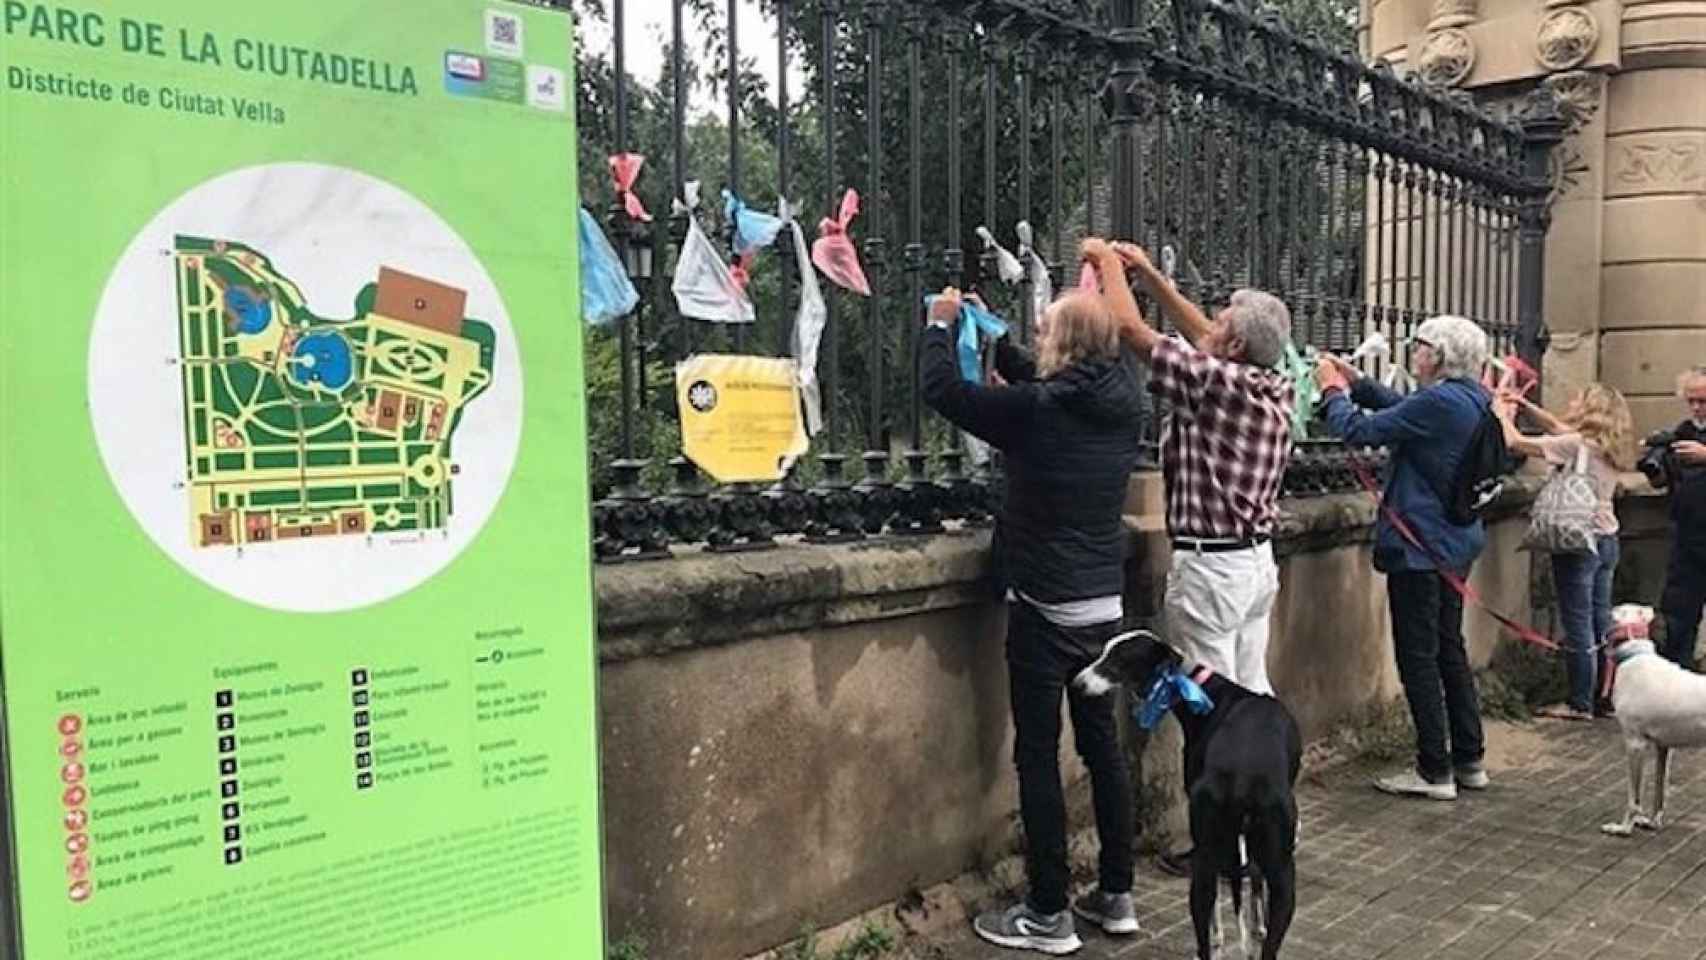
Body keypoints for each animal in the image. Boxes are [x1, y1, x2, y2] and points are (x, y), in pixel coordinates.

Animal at [1071, 630, 1296, 960]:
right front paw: (1255, 928)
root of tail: (1242, 778)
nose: (1077, 684)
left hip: (1226, 859)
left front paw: (1237, 931)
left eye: (1118, 658)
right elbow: (1251, 882)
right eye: (1103, 652)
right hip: (1272, 871)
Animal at [1596, 603, 1706, 838]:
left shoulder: (1635, 744)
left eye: (1617, 609)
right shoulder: (1663, 747)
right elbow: (1659, 789)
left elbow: (1633, 798)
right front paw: (1652, 822)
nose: (1603, 610)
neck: (1635, 655)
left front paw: (1623, 828)